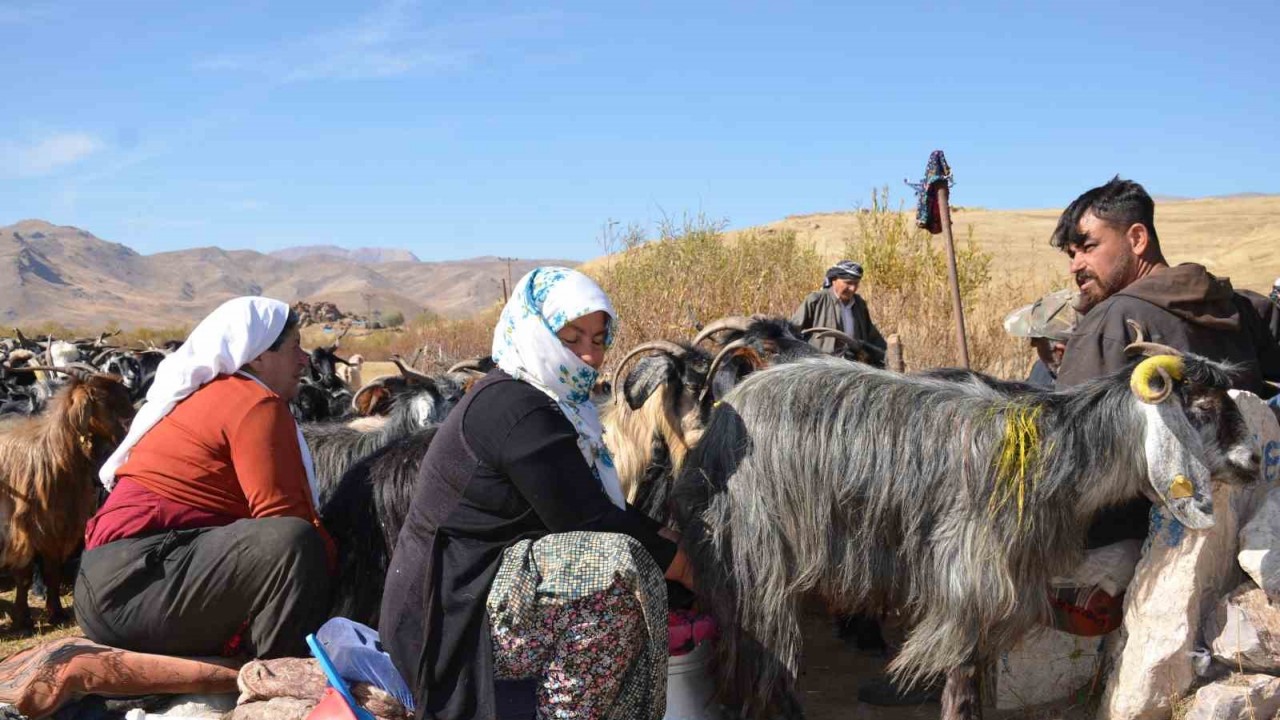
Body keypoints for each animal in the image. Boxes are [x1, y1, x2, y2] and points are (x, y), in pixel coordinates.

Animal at [0, 363, 133, 627]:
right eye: (101, 399)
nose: (131, 425)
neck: (53, 454)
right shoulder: (23, 529)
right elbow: (24, 575)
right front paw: (23, 619)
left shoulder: (56, 526)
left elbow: (53, 571)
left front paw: (57, 613)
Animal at [680, 348, 1259, 717]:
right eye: (1202, 407)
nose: (1255, 460)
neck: (1052, 450)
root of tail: (718, 420)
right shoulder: (969, 581)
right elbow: (961, 675)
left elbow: (975, 670)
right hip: (757, 548)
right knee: (762, 641)